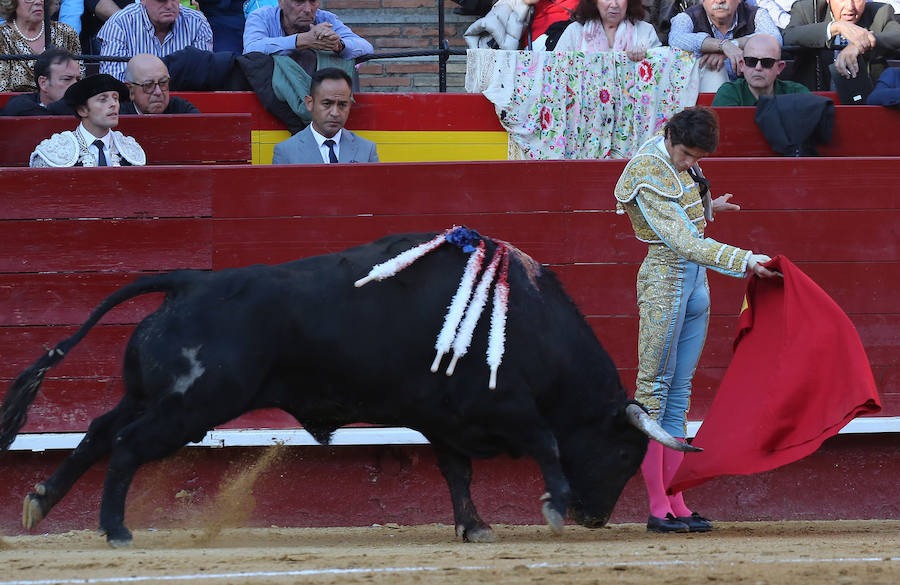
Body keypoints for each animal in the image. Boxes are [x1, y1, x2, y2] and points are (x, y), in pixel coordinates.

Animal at [0, 230, 696, 544]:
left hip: (154, 395)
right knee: (125, 448)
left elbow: (457, 473)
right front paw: (551, 505)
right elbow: (548, 445)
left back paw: (39, 501)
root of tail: (191, 281)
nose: (595, 517)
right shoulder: (506, 406)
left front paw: (474, 528)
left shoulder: (444, 419)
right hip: (191, 406)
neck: (527, 321)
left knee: (97, 433)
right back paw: (114, 528)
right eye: (626, 453)